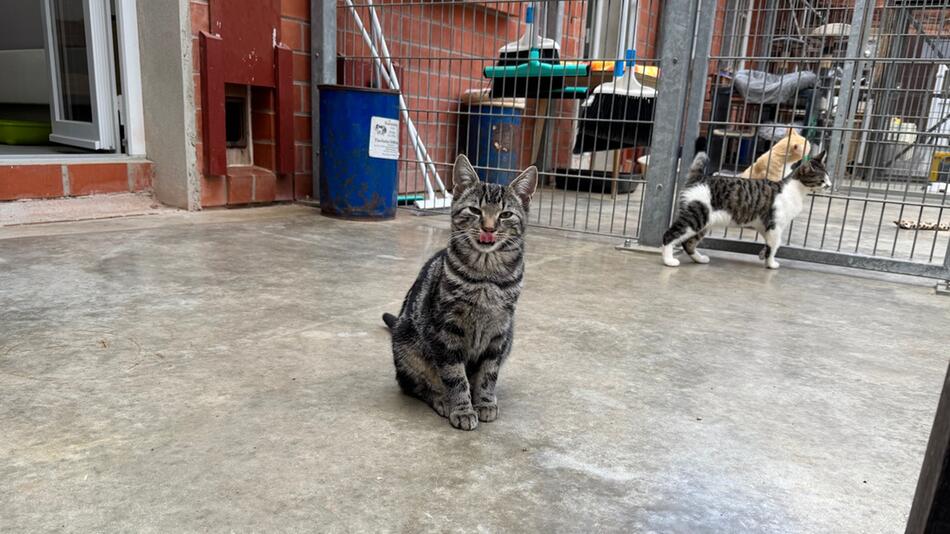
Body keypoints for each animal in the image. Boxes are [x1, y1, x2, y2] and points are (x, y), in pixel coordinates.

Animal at [384, 154, 536, 432]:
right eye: (475, 211)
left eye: (506, 214)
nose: (488, 228)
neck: (486, 276)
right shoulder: (447, 330)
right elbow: (455, 376)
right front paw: (463, 408)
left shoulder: (500, 332)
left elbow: (488, 373)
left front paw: (484, 401)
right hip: (407, 345)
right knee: (412, 384)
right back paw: (442, 399)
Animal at [664, 149, 828, 270]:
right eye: (822, 180)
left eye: (828, 177)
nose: (829, 185)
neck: (795, 189)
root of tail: (699, 178)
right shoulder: (775, 225)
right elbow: (775, 246)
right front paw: (771, 264)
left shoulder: (765, 226)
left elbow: (769, 244)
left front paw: (763, 255)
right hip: (696, 217)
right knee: (669, 235)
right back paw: (668, 260)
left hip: (704, 223)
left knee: (688, 243)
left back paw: (700, 259)